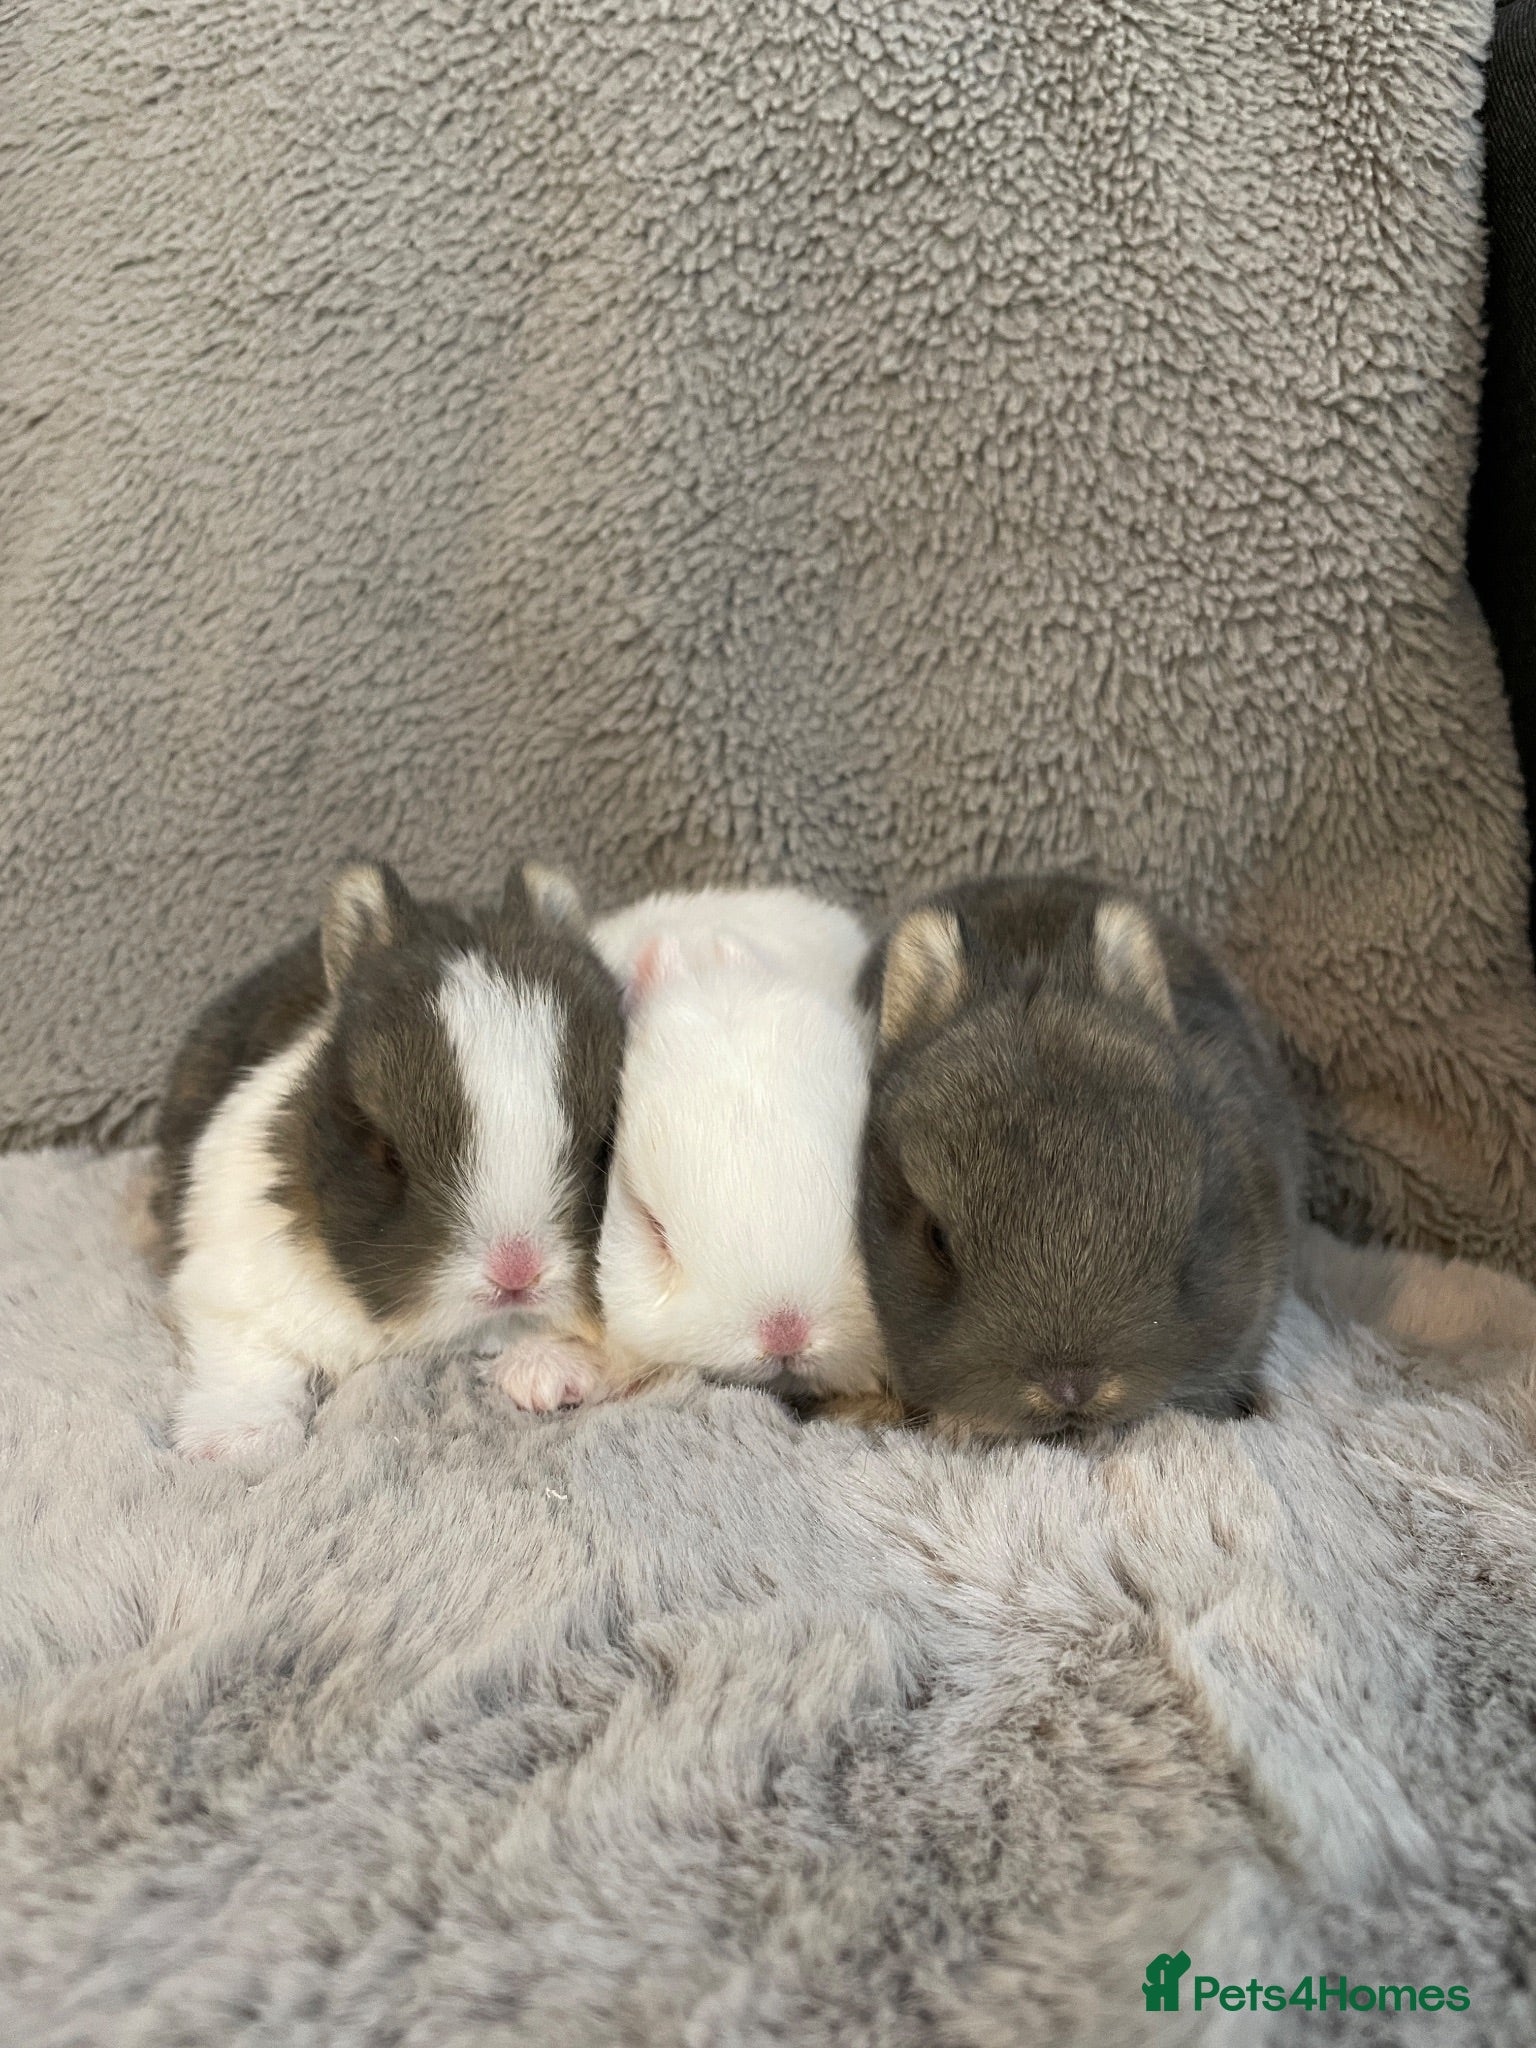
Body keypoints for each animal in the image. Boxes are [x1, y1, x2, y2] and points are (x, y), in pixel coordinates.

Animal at [151, 857, 624, 1462]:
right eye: (385, 1151)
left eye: (605, 1142)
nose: (516, 1273)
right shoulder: (226, 1270)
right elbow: (251, 1357)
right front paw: (233, 1440)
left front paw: (548, 1372)